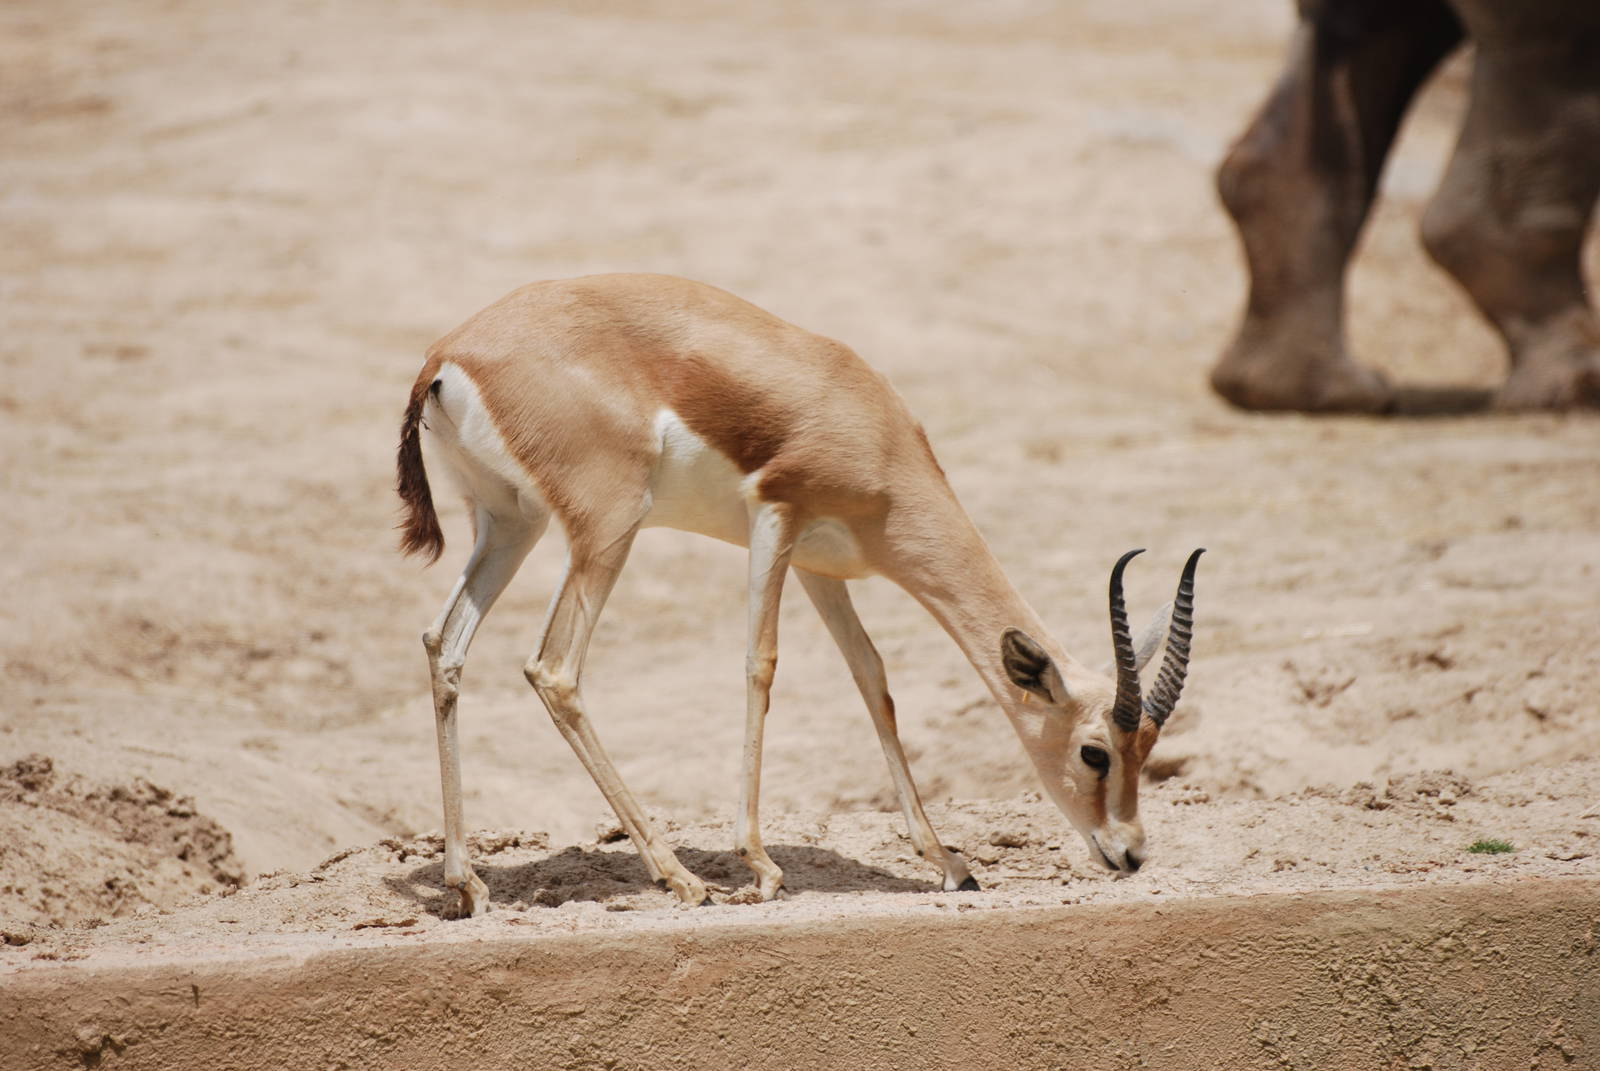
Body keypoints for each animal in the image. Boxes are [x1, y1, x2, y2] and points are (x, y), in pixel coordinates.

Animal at [396, 274, 1203, 915]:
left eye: (1150, 747)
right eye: (1096, 752)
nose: (1130, 852)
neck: (875, 432)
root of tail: (450, 353)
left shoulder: (823, 568)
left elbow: (873, 679)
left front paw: (948, 863)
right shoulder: (776, 517)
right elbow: (762, 664)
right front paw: (761, 866)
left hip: (512, 522)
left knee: (444, 644)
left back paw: (467, 885)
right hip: (606, 529)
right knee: (556, 669)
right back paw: (682, 878)